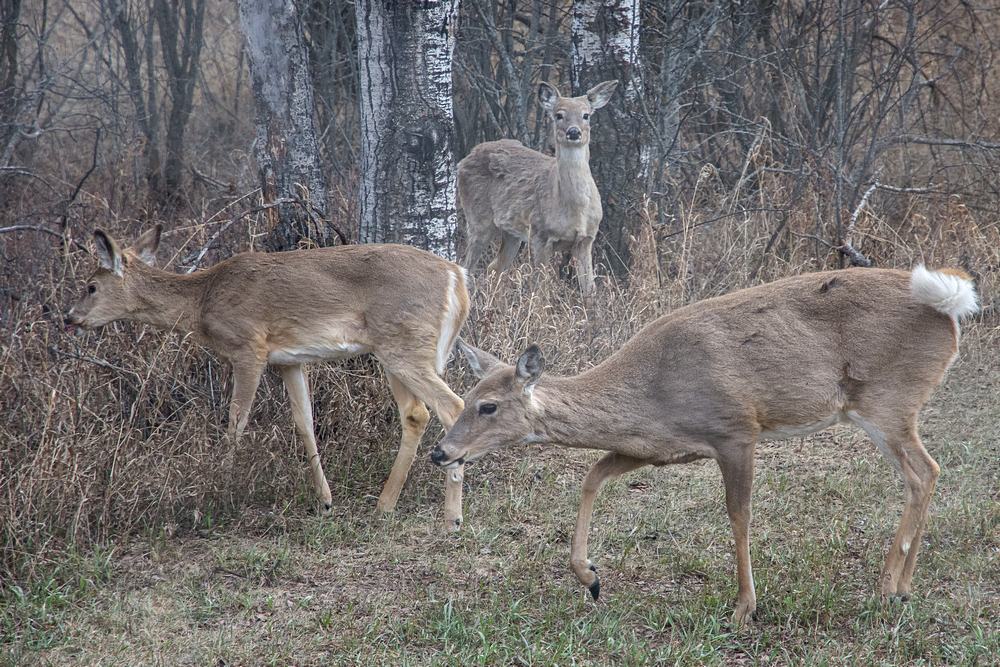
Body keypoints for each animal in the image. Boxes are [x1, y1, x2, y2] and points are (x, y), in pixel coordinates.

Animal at [67, 227, 472, 536]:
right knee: (416, 414)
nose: (68, 317)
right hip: (395, 349)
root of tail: (458, 278)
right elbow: (304, 423)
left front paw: (219, 491)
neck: (203, 300)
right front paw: (325, 501)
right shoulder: (288, 361)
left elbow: (236, 423)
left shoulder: (249, 348)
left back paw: (451, 519)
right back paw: (385, 505)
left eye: (90, 286)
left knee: (453, 406)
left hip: (403, 345)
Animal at [428, 268, 976, 628]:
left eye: (489, 406)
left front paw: (743, 607)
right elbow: (591, 477)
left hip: (888, 401)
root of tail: (949, 311)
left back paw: (885, 588)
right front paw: (590, 577)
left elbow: (739, 514)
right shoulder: (652, 448)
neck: (653, 394)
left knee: (923, 472)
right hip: (893, 408)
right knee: (926, 475)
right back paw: (902, 588)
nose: (440, 452)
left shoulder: (735, 430)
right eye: (466, 398)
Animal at [458, 79, 616, 298]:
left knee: (495, 268)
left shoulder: (586, 240)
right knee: (466, 265)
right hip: (478, 219)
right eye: (559, 114)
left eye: (586, 114)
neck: (574, 213)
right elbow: (539, 292)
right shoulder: (540, 236)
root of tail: (465, 158)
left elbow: (590, 292)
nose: (573, 132)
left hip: (512, 231)